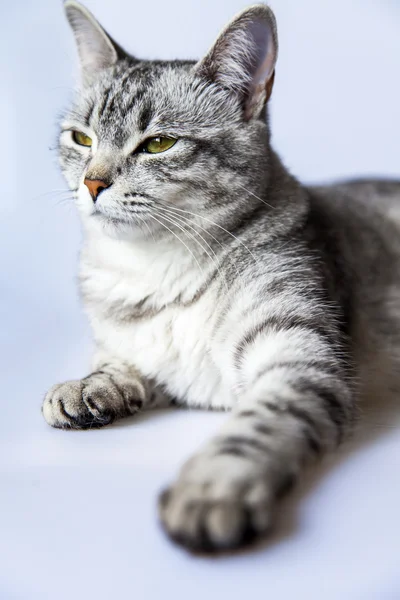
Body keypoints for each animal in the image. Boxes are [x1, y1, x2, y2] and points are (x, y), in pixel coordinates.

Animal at [42, 0, 400, 552]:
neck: (157, 271)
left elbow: (255, 427)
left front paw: (212, 486)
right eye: (82, 138)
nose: (92, 183)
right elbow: (118, 361)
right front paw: (91, 386)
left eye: (158, 144)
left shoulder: (298, 359)